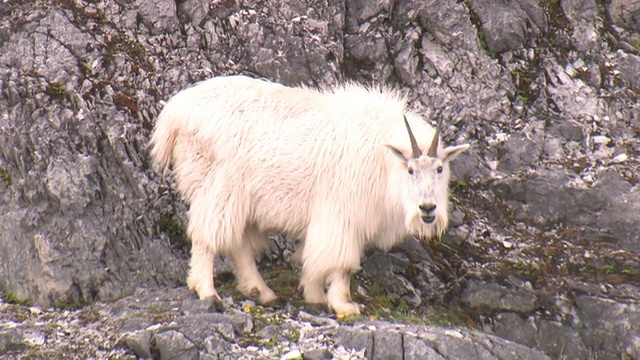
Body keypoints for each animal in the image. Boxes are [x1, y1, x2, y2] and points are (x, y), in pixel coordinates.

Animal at [150, 74, 470, 314]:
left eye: (440, 168)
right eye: (411, 169)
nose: (427, 209)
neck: (384, 159)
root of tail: (175, 112)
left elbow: (312, 259)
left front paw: (314, 295)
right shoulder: (342, 215)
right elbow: (341, 264)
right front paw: (343, 304)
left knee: (238, 244)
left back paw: (262, 292)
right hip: (217, 187)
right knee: (206, 237)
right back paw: (207, 291)